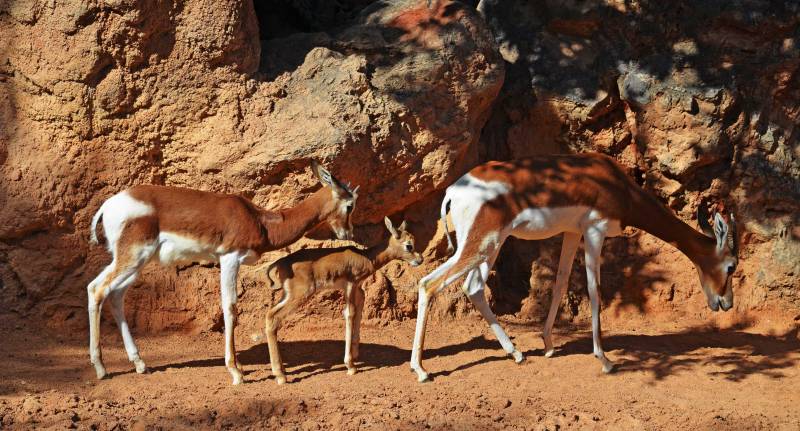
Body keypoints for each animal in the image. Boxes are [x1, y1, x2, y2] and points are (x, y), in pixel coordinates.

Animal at [86, 162, 356, 384]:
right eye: (350, 204)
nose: (348, 233)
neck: (260, 220)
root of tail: (108, 206)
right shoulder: (229, 259)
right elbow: (230, 309)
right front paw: (236, 372)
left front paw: (240, 368)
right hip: (132, 258)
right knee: (98, 289)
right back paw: (101, 368)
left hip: (135, 262)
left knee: (111, 294)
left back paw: (140, 364)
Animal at [262, 218, 424, 384]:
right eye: (409, 245)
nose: (420, 260)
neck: (367, 257)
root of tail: (280, 262)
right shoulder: (350, 285)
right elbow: (350, 314)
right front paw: (350, 366)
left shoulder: (358, 289)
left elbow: (359, 310)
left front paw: (355, 354)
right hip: (300, 294)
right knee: (274, 317)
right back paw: (281, 376)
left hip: (287, 295)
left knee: (269, 314)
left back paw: (282, 371)